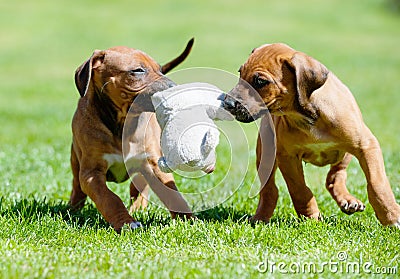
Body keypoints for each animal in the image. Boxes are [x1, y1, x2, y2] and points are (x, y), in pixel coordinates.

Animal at [70, 38, 195, 232]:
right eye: (138, 70)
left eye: (160, 69)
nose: (175, 89)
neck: (121, 124)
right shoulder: (91, 173)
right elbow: (108, 198)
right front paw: (126, 222)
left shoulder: (153, 164)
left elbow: (173, 194)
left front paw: (189, 219)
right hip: (76, 161)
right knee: (77, 186)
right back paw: (72, 209)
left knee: (139, 187)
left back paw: (138, 207)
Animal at [225, 43, 400, 228]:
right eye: (240, 73)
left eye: (260, 81)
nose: (226, 102)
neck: (307, 116)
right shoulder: (287, 157)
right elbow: (299, 190)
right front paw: (311, 217)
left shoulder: (366, 145)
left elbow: (377, 184)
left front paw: (391, 216)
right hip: (266, 152)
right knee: (269, 189)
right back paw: (260, 217)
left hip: (345, 154)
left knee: (334, 177)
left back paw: (348, 200)